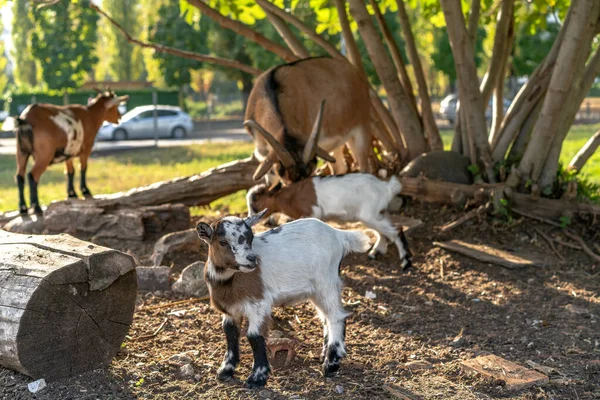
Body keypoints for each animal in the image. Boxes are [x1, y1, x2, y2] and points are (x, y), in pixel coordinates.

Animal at [197, 209, 370, 388]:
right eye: (223, 242)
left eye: (251, 237)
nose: (252, 259)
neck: (229, 281)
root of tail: (338, 234)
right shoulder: (229, 310)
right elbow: (230, 334)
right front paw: (225, 370)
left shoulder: (259, 305)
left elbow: (254, 337)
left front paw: (257, 378)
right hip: (316, 291)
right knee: (326, 318)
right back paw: (324, 354)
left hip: (326, 282)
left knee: (336, 317)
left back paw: (331, 365)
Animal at [243, 55, 372, 186]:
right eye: (282, 173)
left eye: (309, 173)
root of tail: (354, 71)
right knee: (340, 167)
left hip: (362, 126)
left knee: (364, 166)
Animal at [246, 174, 410, 270]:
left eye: (255, 203)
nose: (250, 221)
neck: (293, 196)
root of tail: (386, 187)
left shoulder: (313, 211)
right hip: (377, 213)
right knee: (385, 229)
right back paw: (375, 252)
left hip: (370, 214)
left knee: (396, 229)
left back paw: (405, 262)